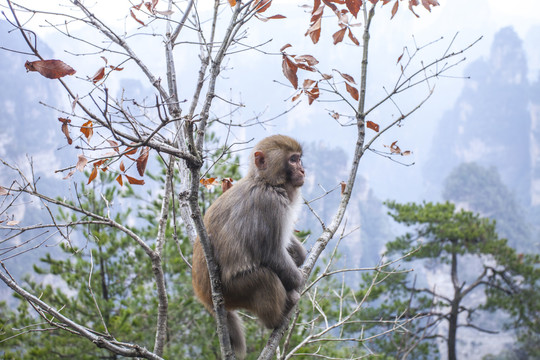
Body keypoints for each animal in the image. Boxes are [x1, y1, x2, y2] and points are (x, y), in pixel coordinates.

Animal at [192, 134, 306, 358]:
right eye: (293, 160)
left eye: (299, 158)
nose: (303, 170)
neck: (266, 182)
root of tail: (205, 297)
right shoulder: (269, 203)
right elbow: (271, 254)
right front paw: (297, 279)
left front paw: (299, 254)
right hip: (234, 290)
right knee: (264, 278)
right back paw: (278, 317)